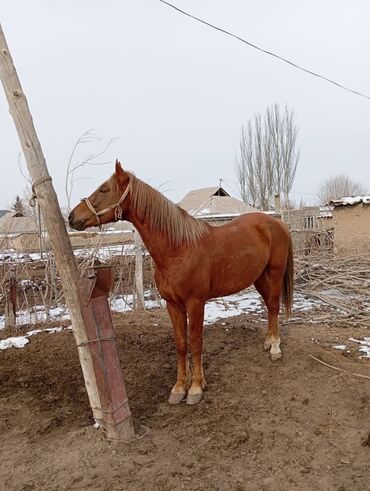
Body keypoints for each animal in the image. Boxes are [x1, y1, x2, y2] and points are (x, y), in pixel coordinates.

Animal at [69, 160, 294, 406]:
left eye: (104, 190)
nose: (71, 217)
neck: (179, 249)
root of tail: (277, 223)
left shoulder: (195, 303)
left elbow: (195, 342)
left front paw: (195, 388)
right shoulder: (173, 305)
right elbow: (181, 344)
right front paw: (179, 388)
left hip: (274, 274)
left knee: (274, 306)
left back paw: (275, 349)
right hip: (259, 278)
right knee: (269, 307)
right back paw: (268, 341)